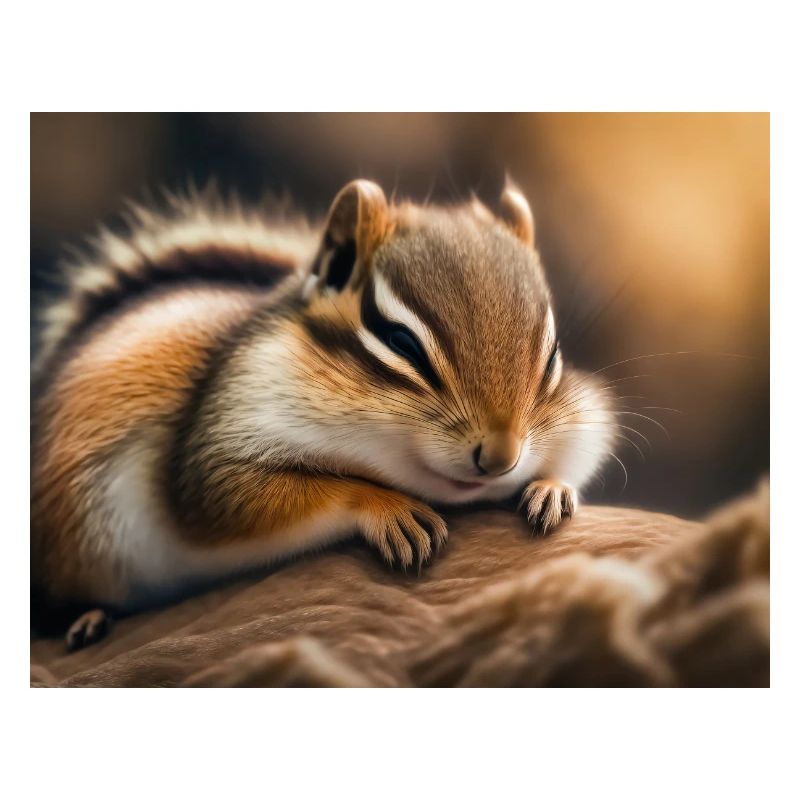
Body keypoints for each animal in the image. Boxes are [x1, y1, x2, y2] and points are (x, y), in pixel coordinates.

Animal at [31, 178, 615, 650]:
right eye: (400, 341)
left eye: (553, 355)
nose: (501, 459)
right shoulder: (218, 441)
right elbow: (239, 498)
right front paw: (390, 510)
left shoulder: (582, 420)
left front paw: (552, 489)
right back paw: (85, 619)